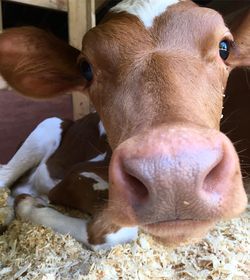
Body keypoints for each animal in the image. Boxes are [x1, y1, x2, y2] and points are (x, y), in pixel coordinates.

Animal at [0, 0, 248, 249]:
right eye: (86, 68)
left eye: (224, 48)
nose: (175, 178)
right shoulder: (76, 174)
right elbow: (109, 230)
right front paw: (28, 205)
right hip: (47, 127)